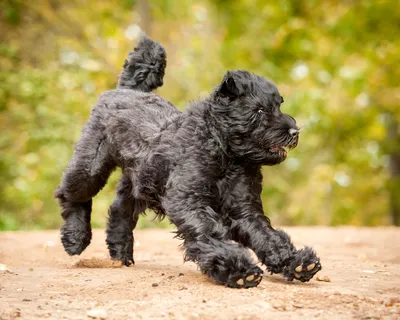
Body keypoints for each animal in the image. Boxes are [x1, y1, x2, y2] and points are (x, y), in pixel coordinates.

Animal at [55, 34, 322, 288]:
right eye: (259, 110)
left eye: (279, 105)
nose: (294, 131)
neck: (225, 153)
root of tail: (125, 89)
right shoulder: (189, 202)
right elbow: (209, 233)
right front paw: (237, 270)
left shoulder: (243, 209)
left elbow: (267, 235)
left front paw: (296, 262)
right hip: (90, 168)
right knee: (69, 195)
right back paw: (75, 238)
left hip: (139, 182)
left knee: (119, 209)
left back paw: (121, 254)